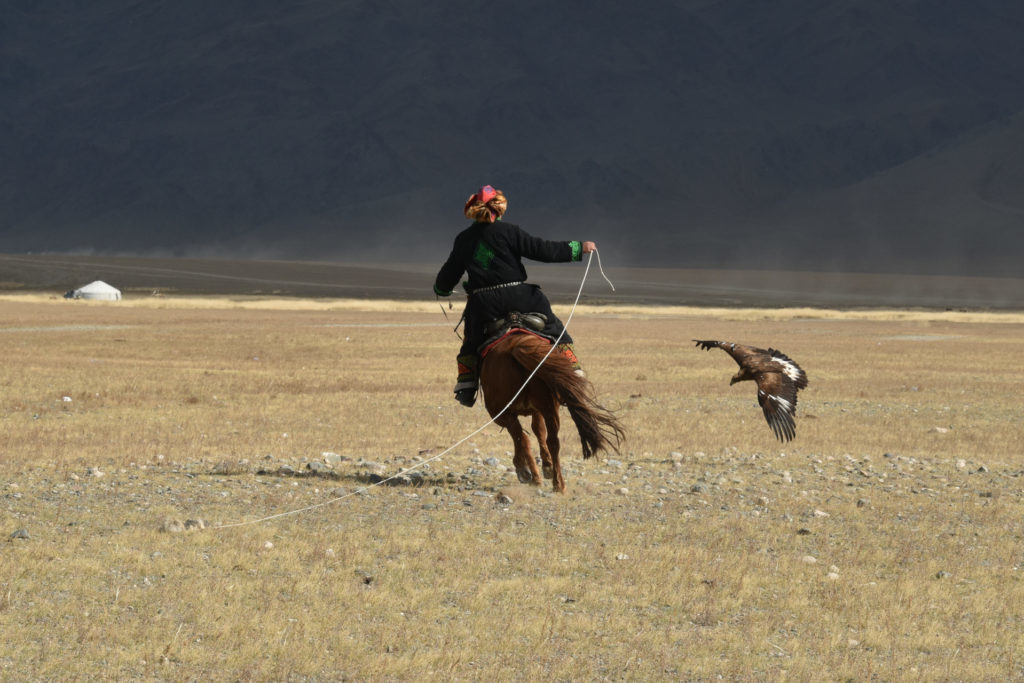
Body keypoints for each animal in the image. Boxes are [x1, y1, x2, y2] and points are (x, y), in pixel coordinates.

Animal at [478, 330, 625, 493]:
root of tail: (516, 346)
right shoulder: (536, 410)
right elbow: (539, 431)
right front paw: (546, 465)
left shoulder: (507, 413)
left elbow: (530, 433)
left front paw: (535, 469)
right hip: (549, 407)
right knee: (552, 441)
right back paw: (558, 484)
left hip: (501, 412)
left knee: (523, 437)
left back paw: (527, 473)